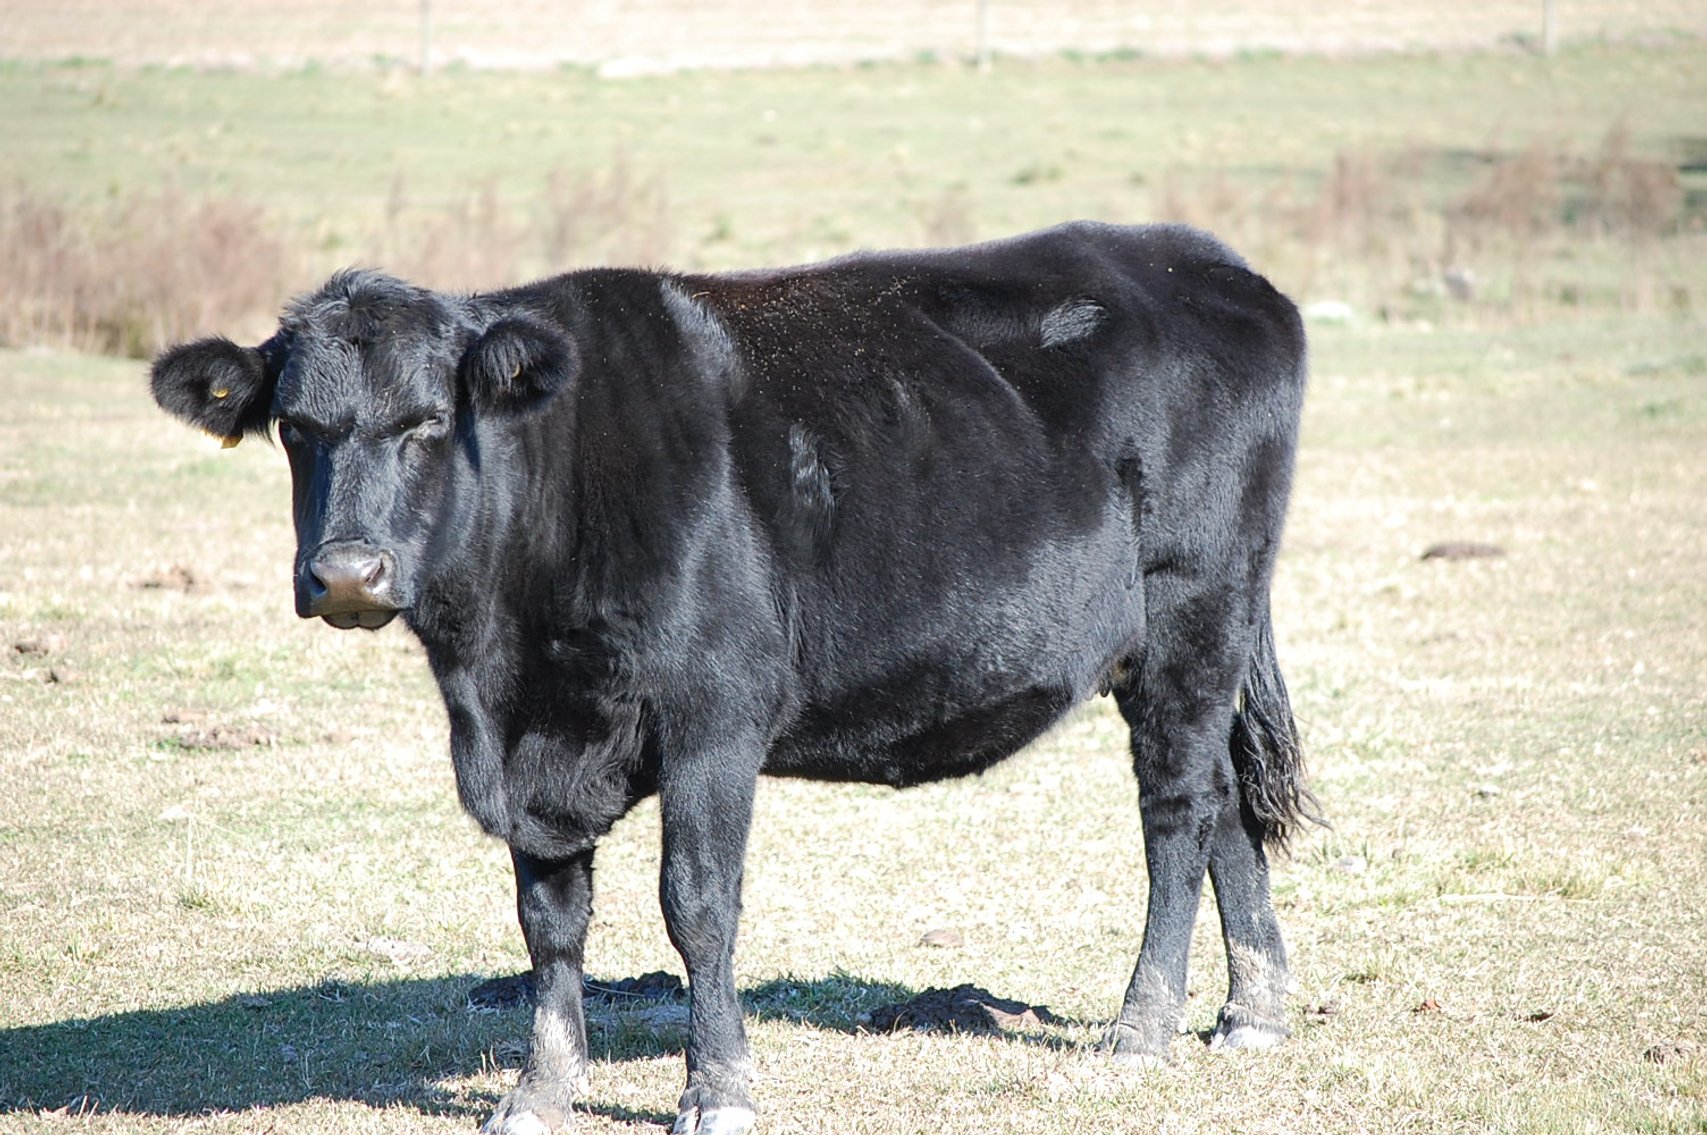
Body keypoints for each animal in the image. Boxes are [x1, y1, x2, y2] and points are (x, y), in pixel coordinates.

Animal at [150, 220, 1318, 1135]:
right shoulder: (532, 755)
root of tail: (1201, 259)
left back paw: (1144, 1022)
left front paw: (717, 1089)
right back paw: (1251, 1012)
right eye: (294, 429)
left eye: (428, 422)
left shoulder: (713, 716)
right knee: (1223, 805)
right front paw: (539, 1090)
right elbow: (549, 919)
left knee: (1178, 805)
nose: (347, 572)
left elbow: (698, 903)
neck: (506, 667)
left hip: (1192, 608)